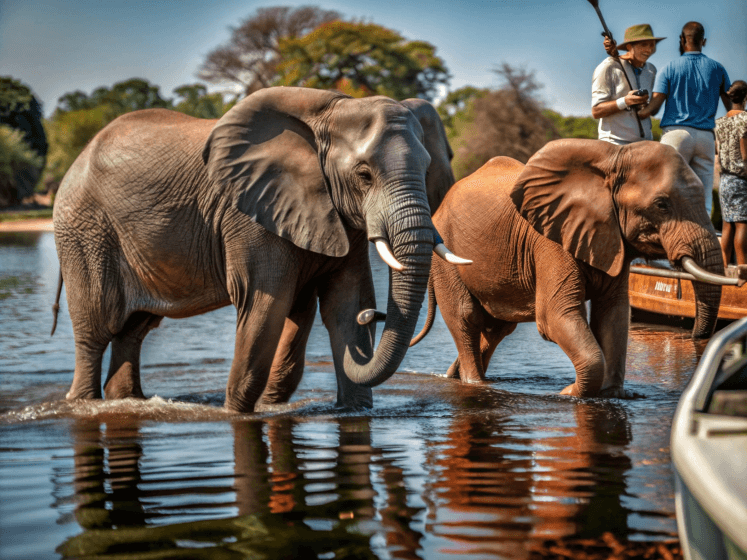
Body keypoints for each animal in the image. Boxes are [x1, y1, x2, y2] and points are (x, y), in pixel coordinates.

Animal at [51, 86, 468, 412]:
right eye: (364, 175)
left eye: (427, 169)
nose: (374, 316)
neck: (332, 110)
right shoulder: (248, 216)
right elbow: (265, 307)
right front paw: (234, 415)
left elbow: (344, 304)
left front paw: (354, 407)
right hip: (85, 232)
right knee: (96, 327)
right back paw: (85, 402)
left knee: (134, 330)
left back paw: (128, 401)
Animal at [410, 140, 732, 398]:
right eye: (662, 205)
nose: (693, 336)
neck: (612, 159)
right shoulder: (550, 240)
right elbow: (555, 316)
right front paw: (569, 393)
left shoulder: (613, 240)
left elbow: (613, 314)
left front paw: (611, 394)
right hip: (445, 253)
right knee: (467, 317)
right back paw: (475, 384)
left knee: (499, 327)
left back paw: (454, 375)